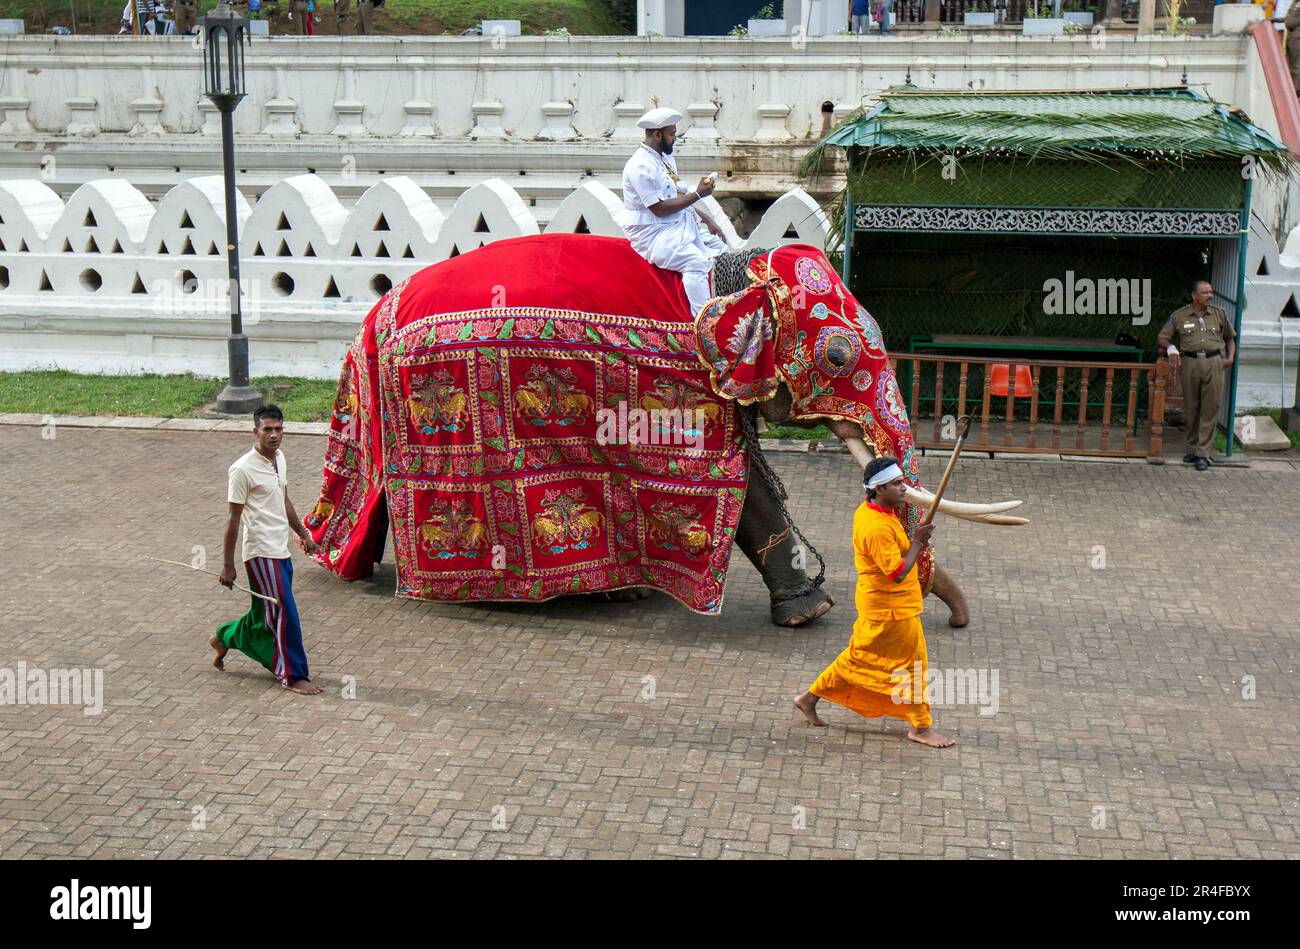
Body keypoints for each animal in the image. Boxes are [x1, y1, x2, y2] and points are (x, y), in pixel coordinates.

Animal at [306, 232, 1024, 624]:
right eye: (839, 357)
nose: (956, 623)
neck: (729, 275)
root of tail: (379, 308)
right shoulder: (687, 390)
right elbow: (743, 491)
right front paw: (809, 612)